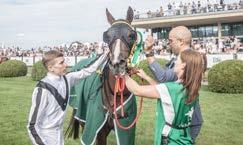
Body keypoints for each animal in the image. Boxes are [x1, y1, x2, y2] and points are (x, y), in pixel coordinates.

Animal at [66, 6, 142, 145]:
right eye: (107, 36)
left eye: (131, 35)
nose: (117, 64)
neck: (115, 95)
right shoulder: (97, 131)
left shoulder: (126, 130)